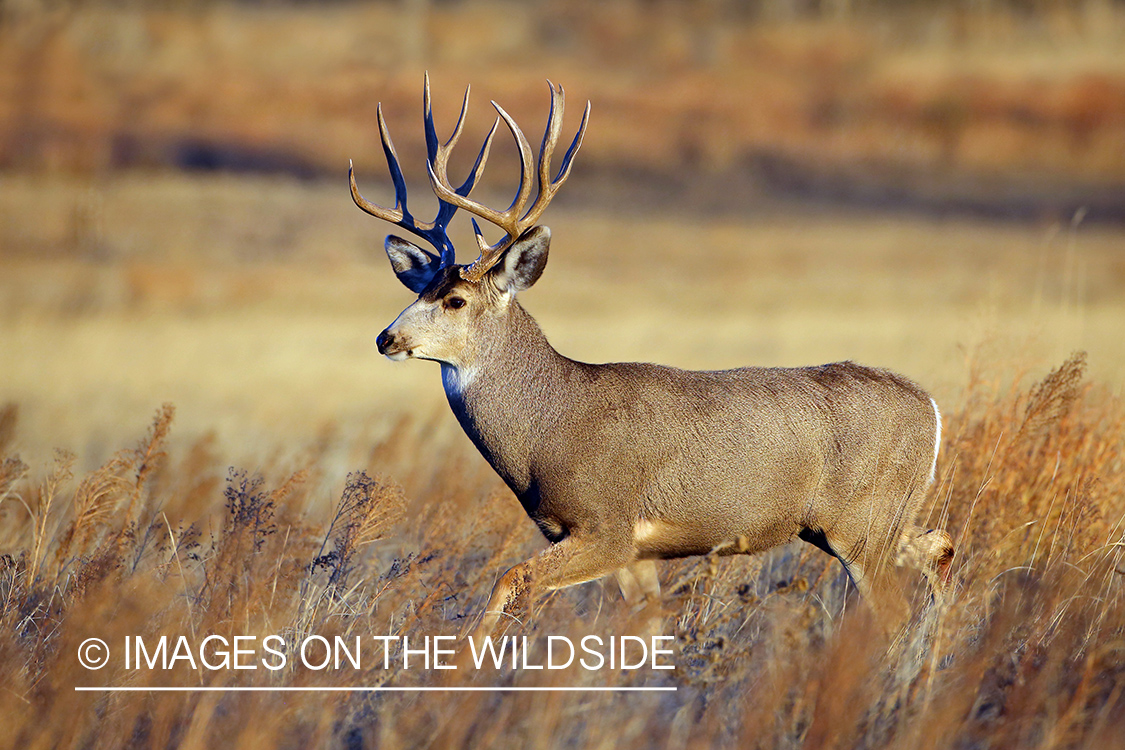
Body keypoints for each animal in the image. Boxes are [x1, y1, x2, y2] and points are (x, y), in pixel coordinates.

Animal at [348, 74, 949, 647]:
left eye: (454, 300)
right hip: (873, 522)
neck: (548, 429)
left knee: (896, 614)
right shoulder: (634, 555)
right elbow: (644, 633)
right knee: (940, 549)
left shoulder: (607, 527)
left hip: (861, 521)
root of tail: (932, 408)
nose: (385, 338)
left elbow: (510, 579)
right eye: (418, 286)